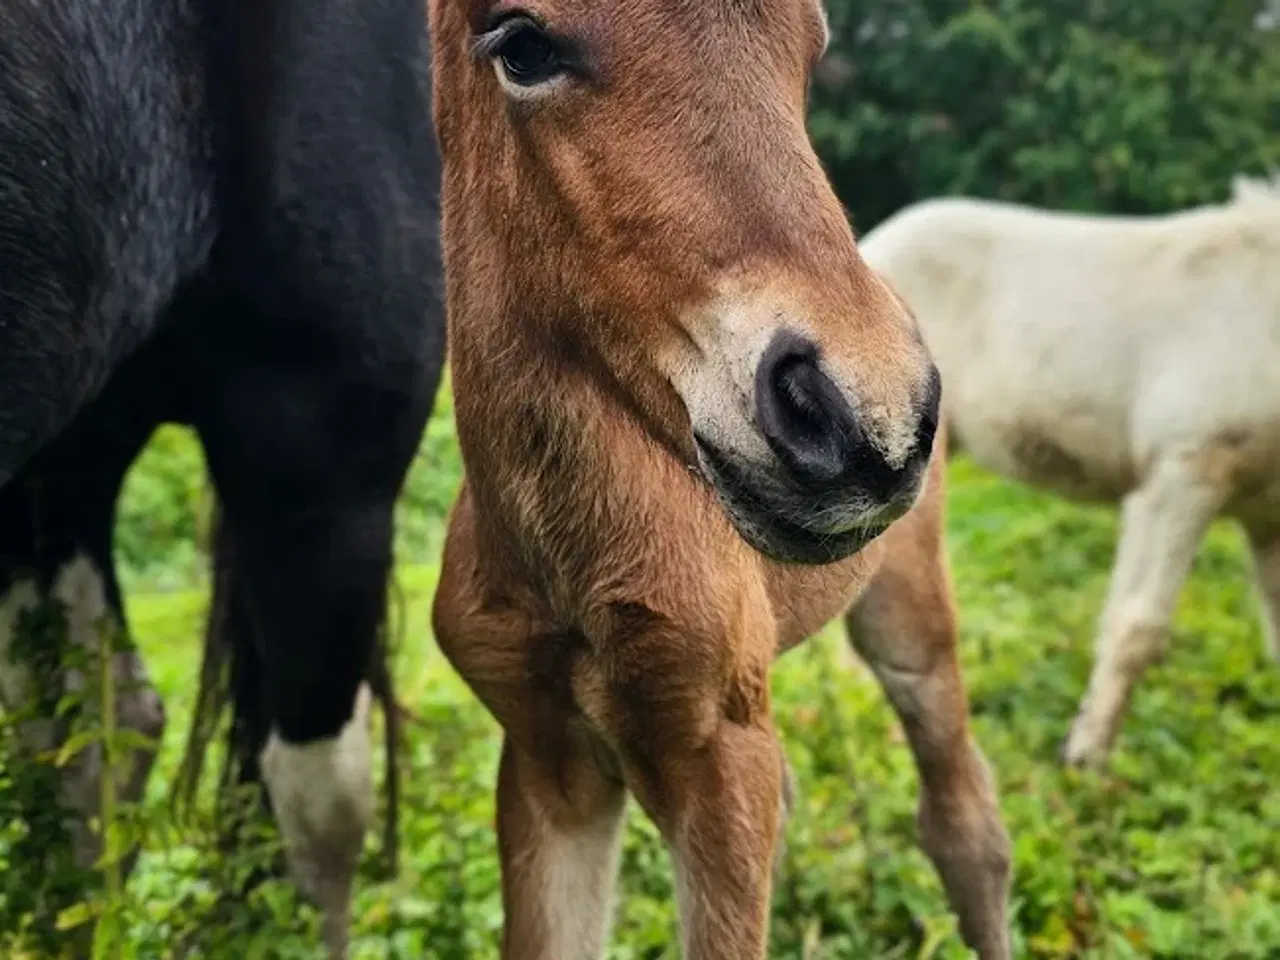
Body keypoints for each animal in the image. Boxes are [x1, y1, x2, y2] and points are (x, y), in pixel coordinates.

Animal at [427, 3, 1008, 957]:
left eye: (812, 43)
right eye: (522, 44)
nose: (865, 414)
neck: (566, 568)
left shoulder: (720, 756)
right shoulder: (547, 762)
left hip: (907, 608)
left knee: (964, 819)